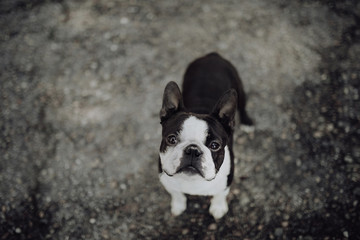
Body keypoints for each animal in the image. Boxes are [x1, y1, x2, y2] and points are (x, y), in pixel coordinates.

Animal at [158, 52, 253, 219]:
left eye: (215, 145)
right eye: (171, 139)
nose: (192, 150)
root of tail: (212, 55)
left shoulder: (226, 182)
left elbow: (220, 195)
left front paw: (218, 208)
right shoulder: (167, 181)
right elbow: (177, 194)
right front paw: (178, 206)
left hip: (239, 89)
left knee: (242, 106)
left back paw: (247, 122)